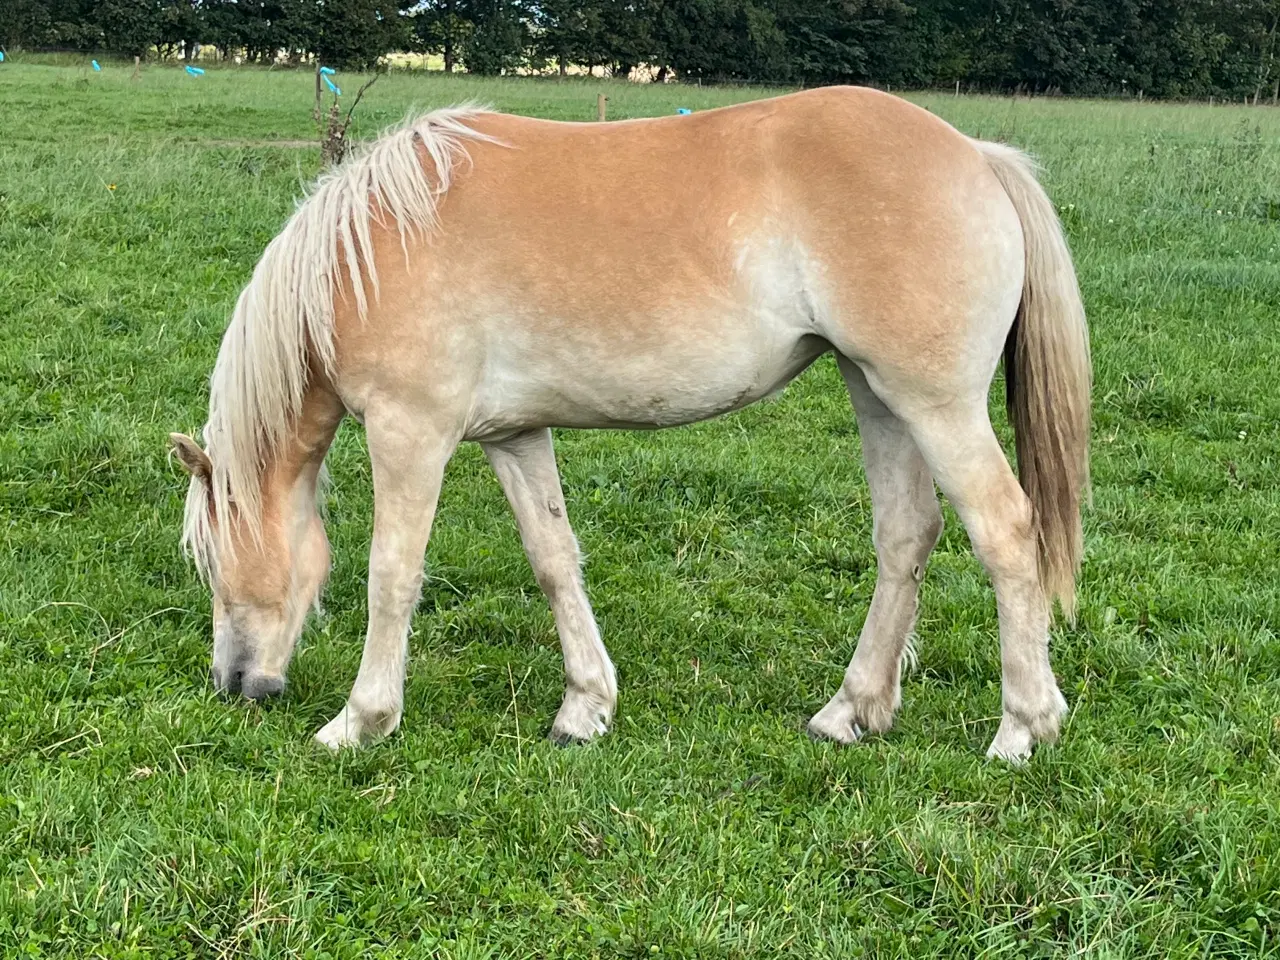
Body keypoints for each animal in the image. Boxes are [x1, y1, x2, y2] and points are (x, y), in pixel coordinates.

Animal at [170, 90, 1090, 768]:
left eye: (214, 561)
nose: (236, 683)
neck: (374, 247)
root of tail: (977, 155)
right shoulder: (513, 436)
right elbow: (553, 559)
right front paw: (585, 707)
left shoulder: (410, 432)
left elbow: (391, 575)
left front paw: (360, 721)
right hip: (878, 395)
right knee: (906, 535)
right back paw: (852, 710)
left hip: (936, 405)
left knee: (1008, 534)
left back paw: (1022, 728)